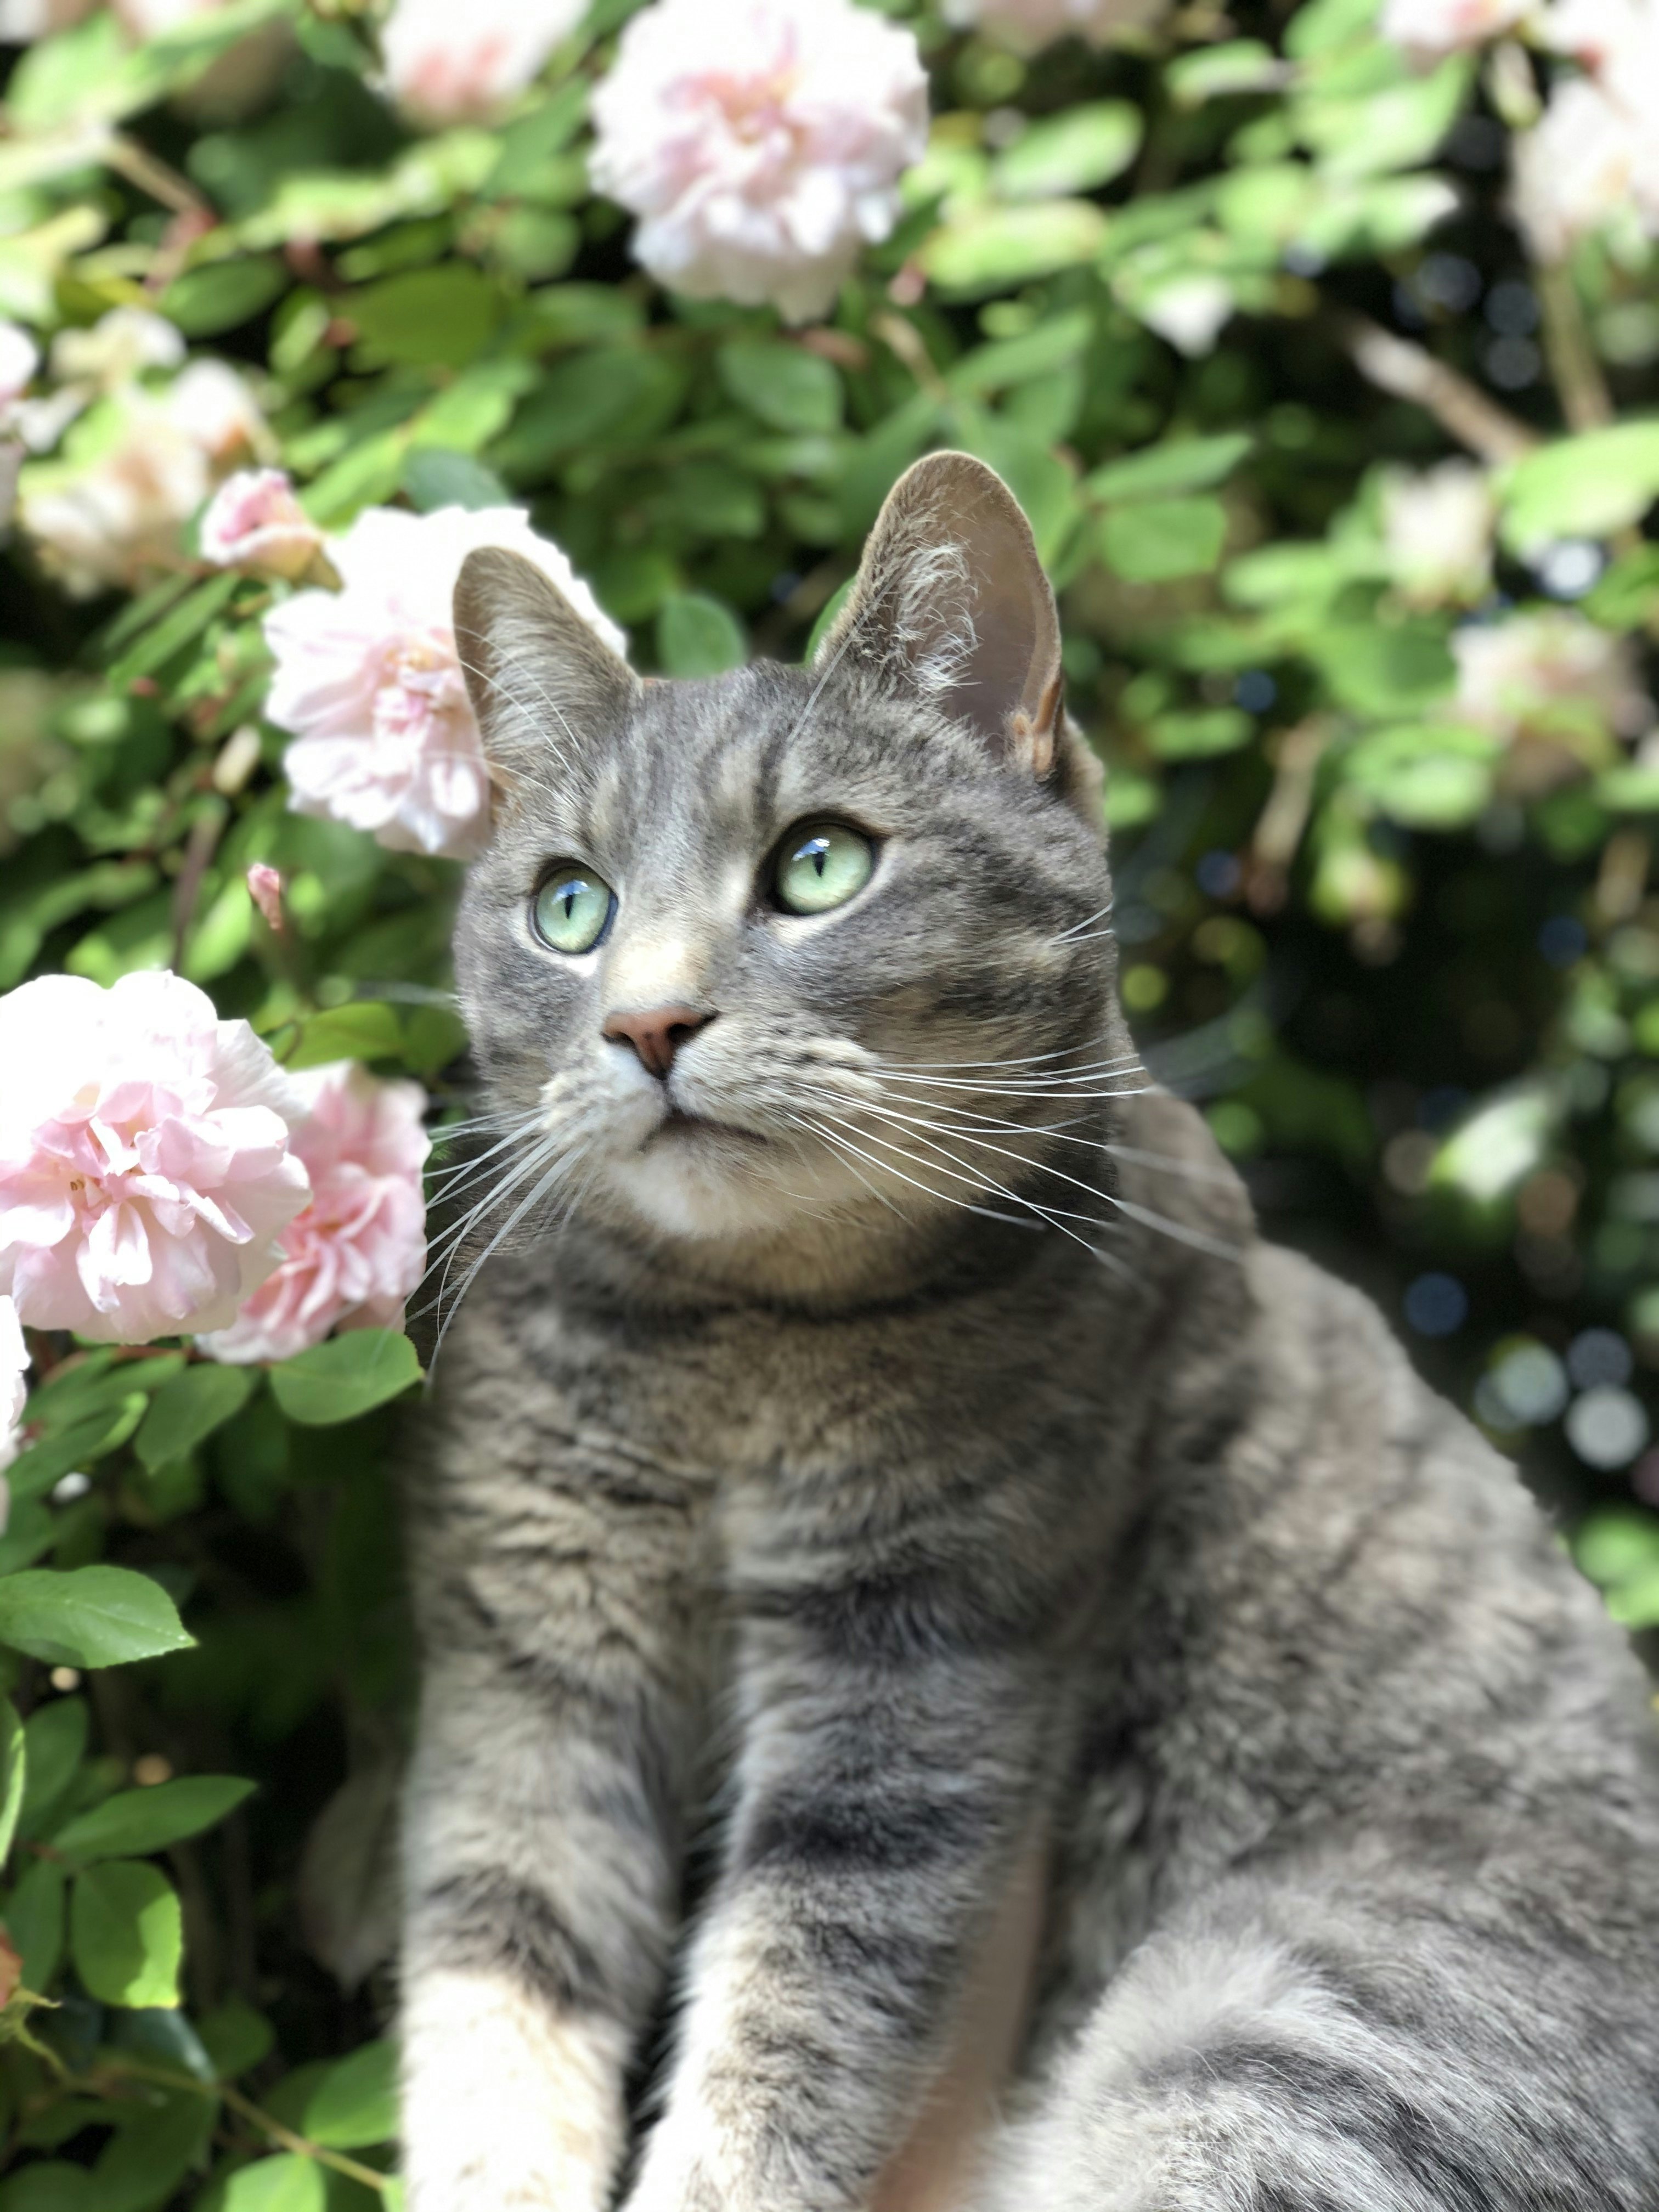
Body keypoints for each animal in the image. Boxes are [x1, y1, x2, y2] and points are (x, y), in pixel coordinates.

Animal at [398, 450, 1659, 2212]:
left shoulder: (920, 1682)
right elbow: (496, 1993)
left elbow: (784, 2036)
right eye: (569, 908)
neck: (734, 1348)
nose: (644, 1023)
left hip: (1288, 2023)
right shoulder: (529, 1653)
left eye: (818, 865)